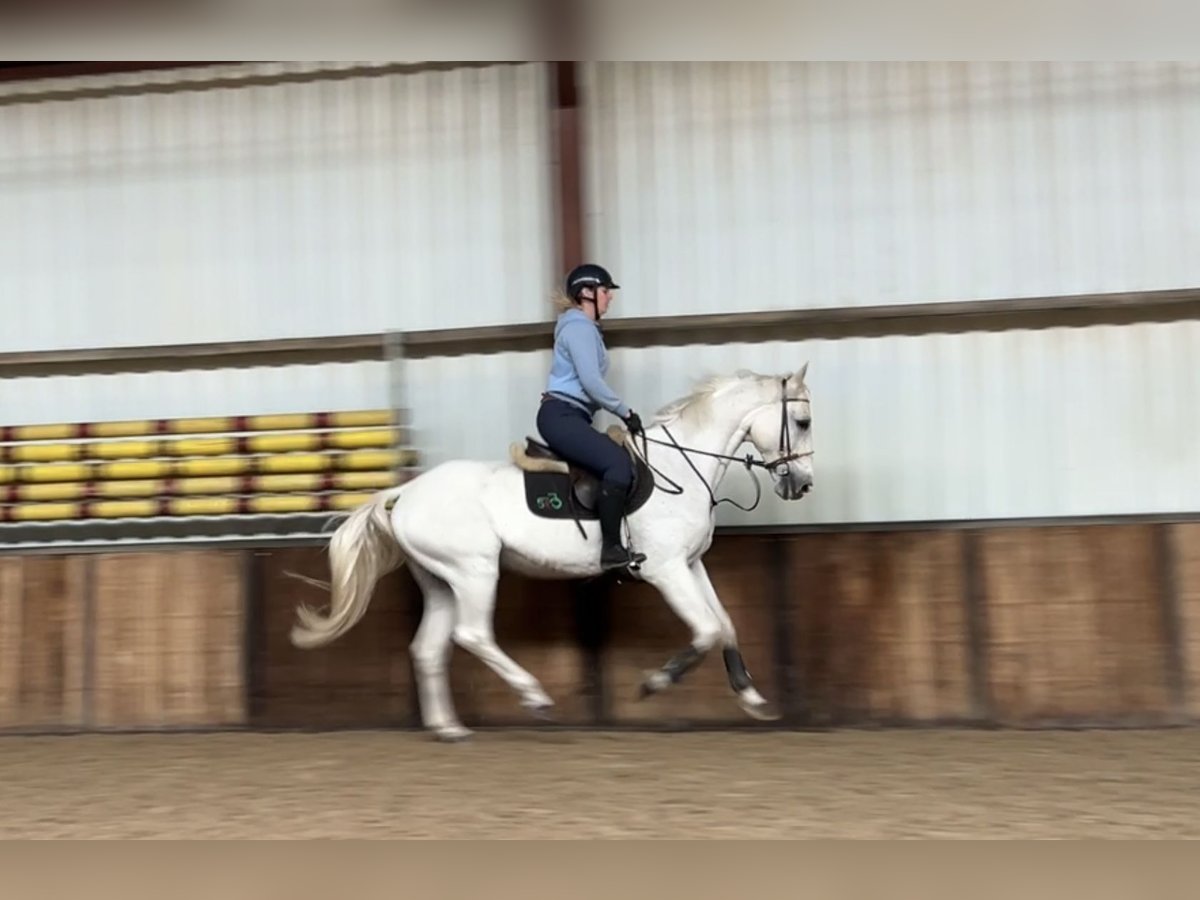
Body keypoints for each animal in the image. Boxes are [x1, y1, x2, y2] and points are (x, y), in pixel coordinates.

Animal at [290, 362, 816, 744]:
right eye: (803, 421)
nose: (803, 485)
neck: (682, 466)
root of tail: (405, 494)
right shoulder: (667, 569)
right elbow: (706, 629)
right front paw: (655, 683)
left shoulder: (691, 563)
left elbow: (725, 622)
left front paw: (751, 697)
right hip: (475, 572)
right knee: (472, 635)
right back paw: (535, 698)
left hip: (441, 581)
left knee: (428, 648)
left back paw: (449, 728)